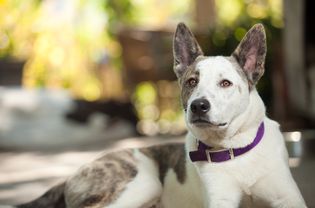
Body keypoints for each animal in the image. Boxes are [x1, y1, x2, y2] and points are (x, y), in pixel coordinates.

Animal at [13, 23, 308, 208]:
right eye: (191, 82)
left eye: (225, 83)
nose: (198, 106)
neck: (236, 149)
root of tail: (75, 173)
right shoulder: (221, 201)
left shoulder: (290, 199)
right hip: (143, 183)